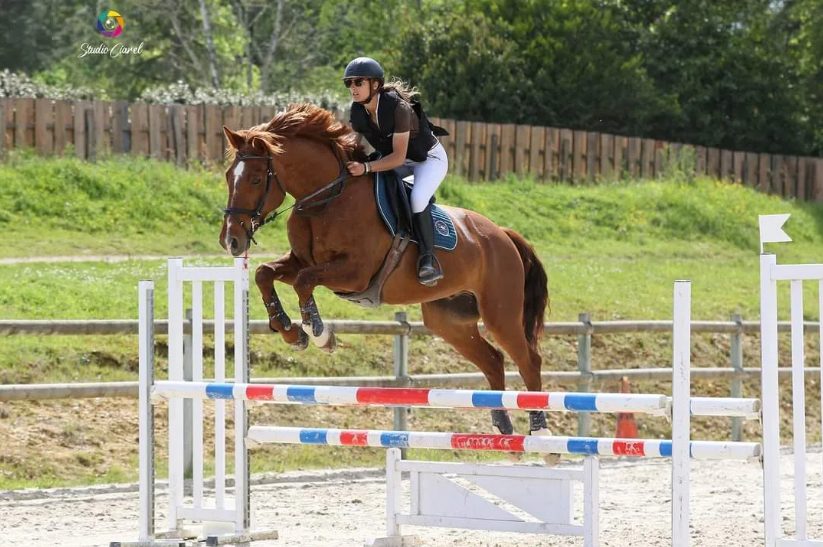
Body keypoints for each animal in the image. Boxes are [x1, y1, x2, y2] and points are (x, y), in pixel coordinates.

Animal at [219, 103, 550, 437]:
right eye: (228, 176)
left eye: (256, 179)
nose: (231, 241)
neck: (327, 199)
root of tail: (503, 234)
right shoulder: (302, 260)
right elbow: (265, 273)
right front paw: (290, 332)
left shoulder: (355, 273)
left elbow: (303, 282)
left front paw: (320, 334)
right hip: (448, 320)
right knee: (493, 360)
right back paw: (502, 423)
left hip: (500, 313)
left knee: (529, 360)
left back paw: (540, 429)